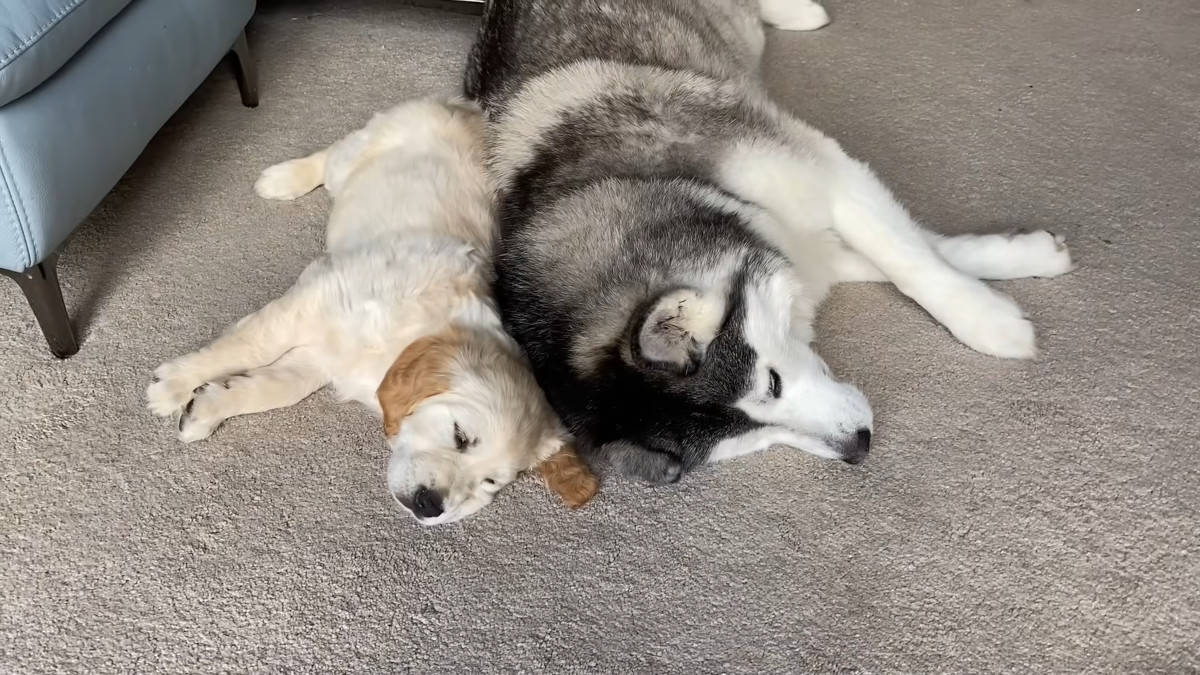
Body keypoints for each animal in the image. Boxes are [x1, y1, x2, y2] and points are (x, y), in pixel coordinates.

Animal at [146, 97, 590, 523]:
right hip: (362, 149)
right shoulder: (318, 297)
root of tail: (471, 109)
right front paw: (173, 387)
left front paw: (205, 408)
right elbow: (252, 346)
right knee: (329, 158)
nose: (431, 505)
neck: (408, 335)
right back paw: (280, 180)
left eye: (490, 483)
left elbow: (277, 386)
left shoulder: (323, 357)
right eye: (461, 437)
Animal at [463, 1, 1075, 482]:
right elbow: (915, 248)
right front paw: (1019, 258)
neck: (624, 180)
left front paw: (988, 320)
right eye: (745, 438)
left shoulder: (819, 169)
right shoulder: (787, 235)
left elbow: (910, 259)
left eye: (773, 381)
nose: (859, 446)